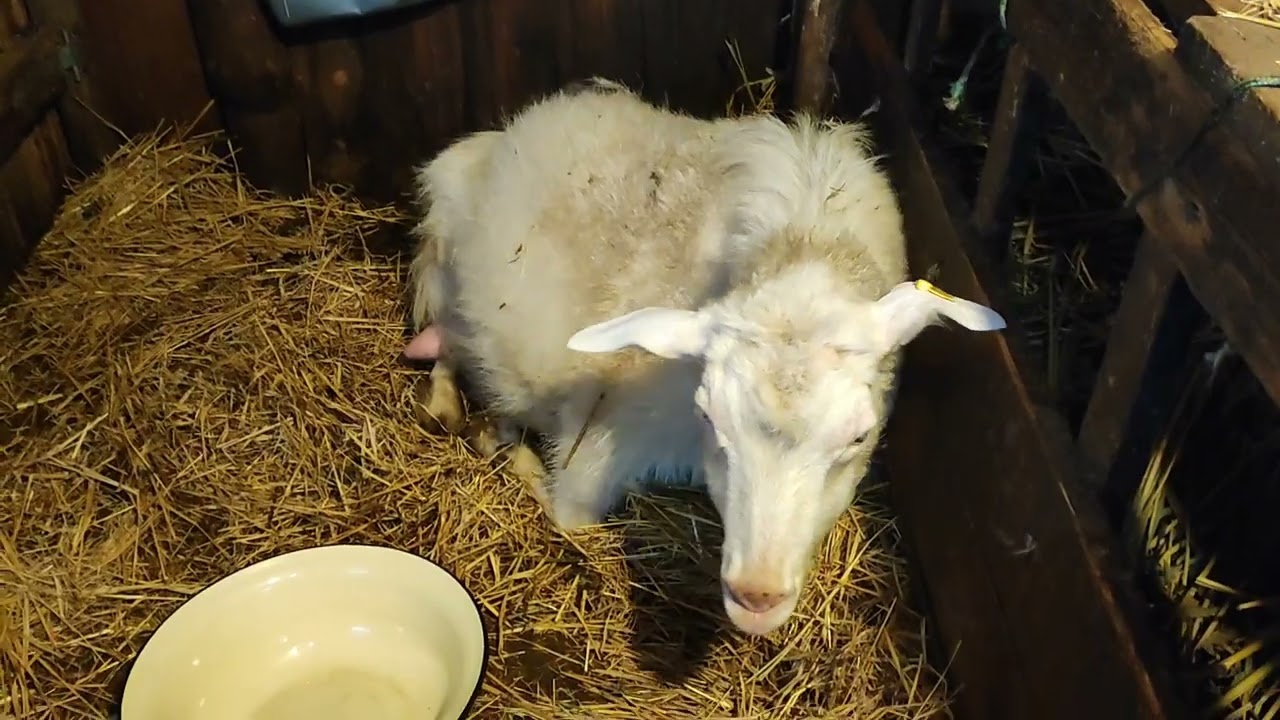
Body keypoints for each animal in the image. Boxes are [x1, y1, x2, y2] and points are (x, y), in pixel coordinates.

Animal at [402, 78, 1006, 636]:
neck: (805, 244)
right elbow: (571, 515)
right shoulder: (596, 443)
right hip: (446, 263)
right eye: (710, 416)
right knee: (450, 342)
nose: (756, 594)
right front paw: (516, 458)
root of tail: (508, 130)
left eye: (859, 437)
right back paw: (456, 410)